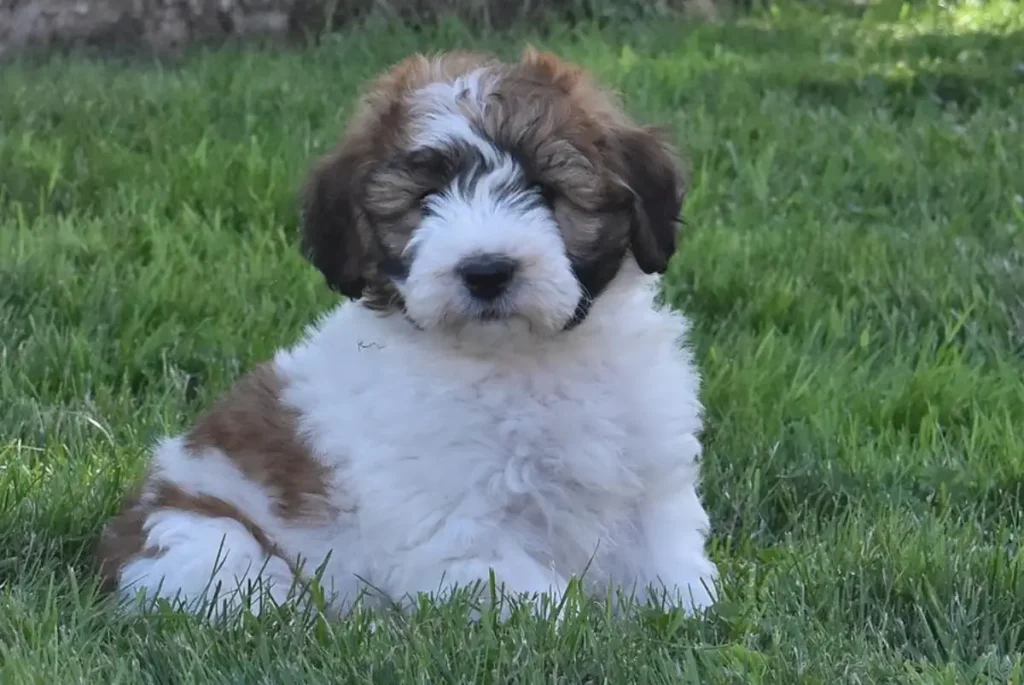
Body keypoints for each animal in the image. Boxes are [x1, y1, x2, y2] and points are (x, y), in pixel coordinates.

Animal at [96, 45, 720, 618]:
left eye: (546, 190)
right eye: (425, 201)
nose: (486, 271)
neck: (521, 356)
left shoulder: (651, 483)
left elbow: (670, 568)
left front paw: (688, 616)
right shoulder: (461, 522)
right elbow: (533, 601)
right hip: (210, 544)